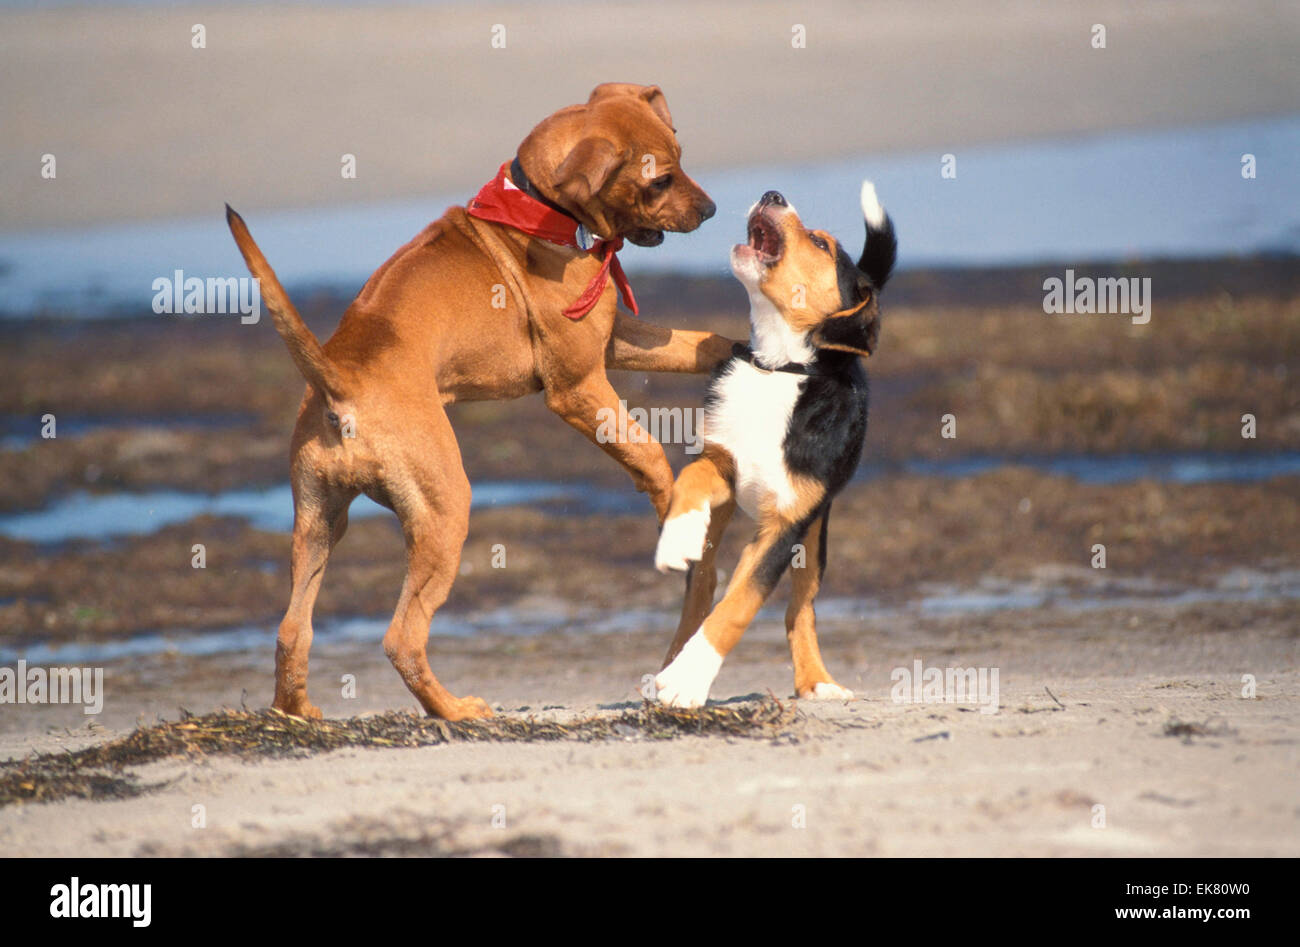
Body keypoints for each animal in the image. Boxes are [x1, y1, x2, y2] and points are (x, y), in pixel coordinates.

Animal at [223, 85, 733, 718]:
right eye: (660, 179)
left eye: (681, 159)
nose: (712, 210)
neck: (544, 214)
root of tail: (341, 381)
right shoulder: (578, 386)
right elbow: (648, 452)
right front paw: (671, 508)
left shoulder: (615, 340)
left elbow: (700, 343)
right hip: (444, 512)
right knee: (401, 638)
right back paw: (455, 711)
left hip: (319, 522)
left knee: (292, 629)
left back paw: (297, 710)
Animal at [650, 180, 894, 707]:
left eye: (821, 244)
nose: (773, 193)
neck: (779, 367)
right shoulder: (724, 461)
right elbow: (692, 477)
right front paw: (677, 534)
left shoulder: (786, 524)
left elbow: (741, 604)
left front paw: (686, 681)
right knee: (702, 585)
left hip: (816, 533)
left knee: (799, 607)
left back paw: (816, 680)